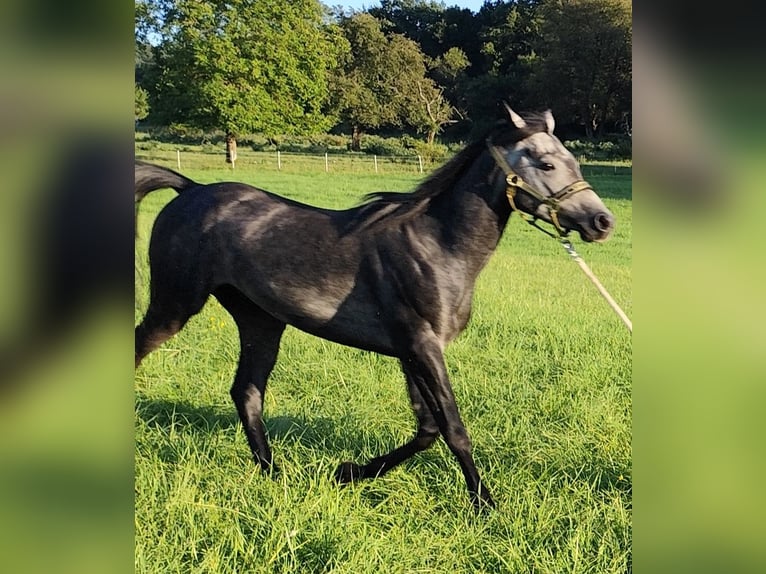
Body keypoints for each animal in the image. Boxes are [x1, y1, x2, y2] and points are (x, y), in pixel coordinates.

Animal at [135, 106, 616, 510]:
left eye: (574, 161)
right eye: (547, 163)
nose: (602, 221)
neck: (437, 247)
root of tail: (192, 189)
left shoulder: (411, 351)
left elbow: (427, 429)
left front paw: (347, 472)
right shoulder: (421, 346)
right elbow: (453, 428)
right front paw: (485, 504)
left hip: (261, 321)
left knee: (247, 393)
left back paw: (274, 474)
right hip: (174, 304)